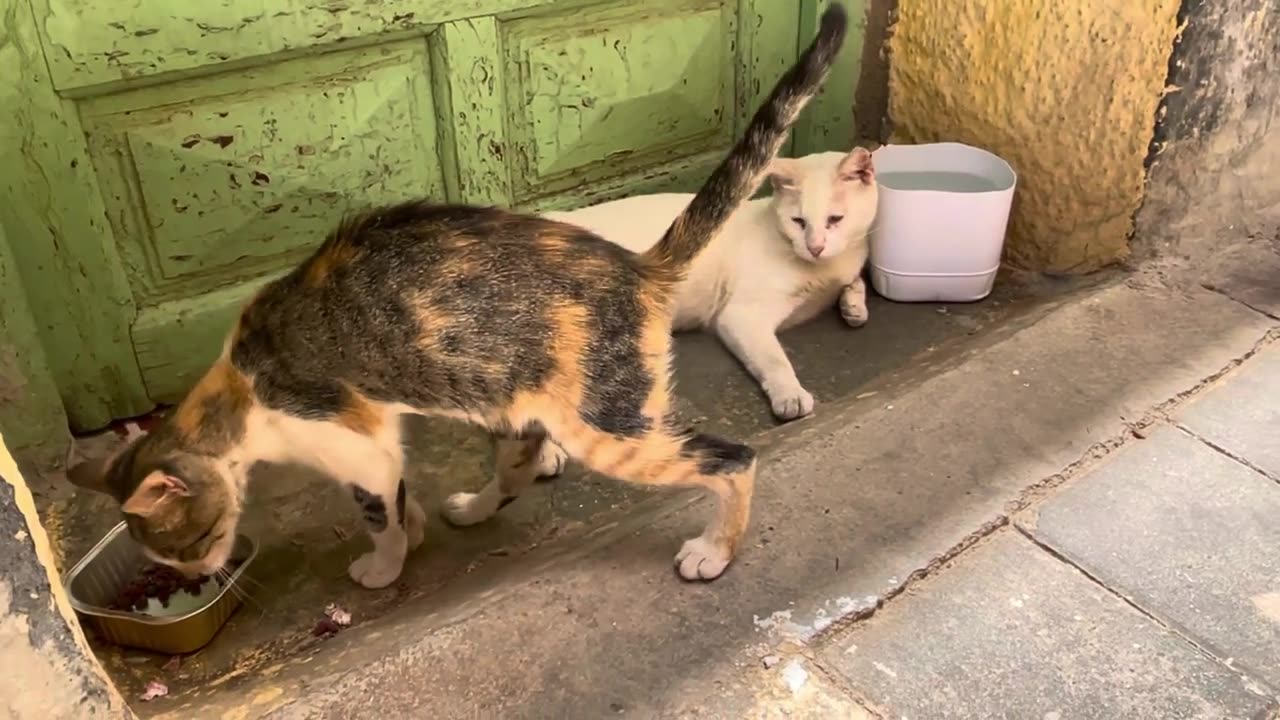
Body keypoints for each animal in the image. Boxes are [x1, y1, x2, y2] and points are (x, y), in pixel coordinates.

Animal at [545, 146, 875, 420]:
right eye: (798, 222)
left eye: (835, 219)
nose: (815, 247)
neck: (825, 269)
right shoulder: (740, 316)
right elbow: (775, 360)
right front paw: (790, 395)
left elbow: (856, 282)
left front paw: (854, 307)